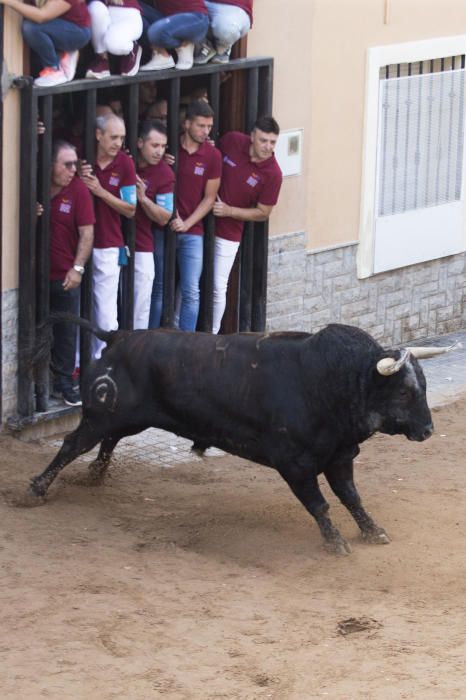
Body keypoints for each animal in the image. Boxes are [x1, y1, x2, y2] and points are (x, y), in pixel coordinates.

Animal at [29, 320, 436, 556]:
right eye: (403, 392)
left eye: (424, 386)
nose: (428, 430)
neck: (331, 382)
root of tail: (120, 336)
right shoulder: (295, 465)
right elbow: (320, 505)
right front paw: (335, 542)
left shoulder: (339, 457)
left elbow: (351, 497)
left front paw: (372, 531)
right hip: (103, 415)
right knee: (73, 444)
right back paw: (36, 490)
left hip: (123, 418)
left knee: (107, 441)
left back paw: (95, 476)